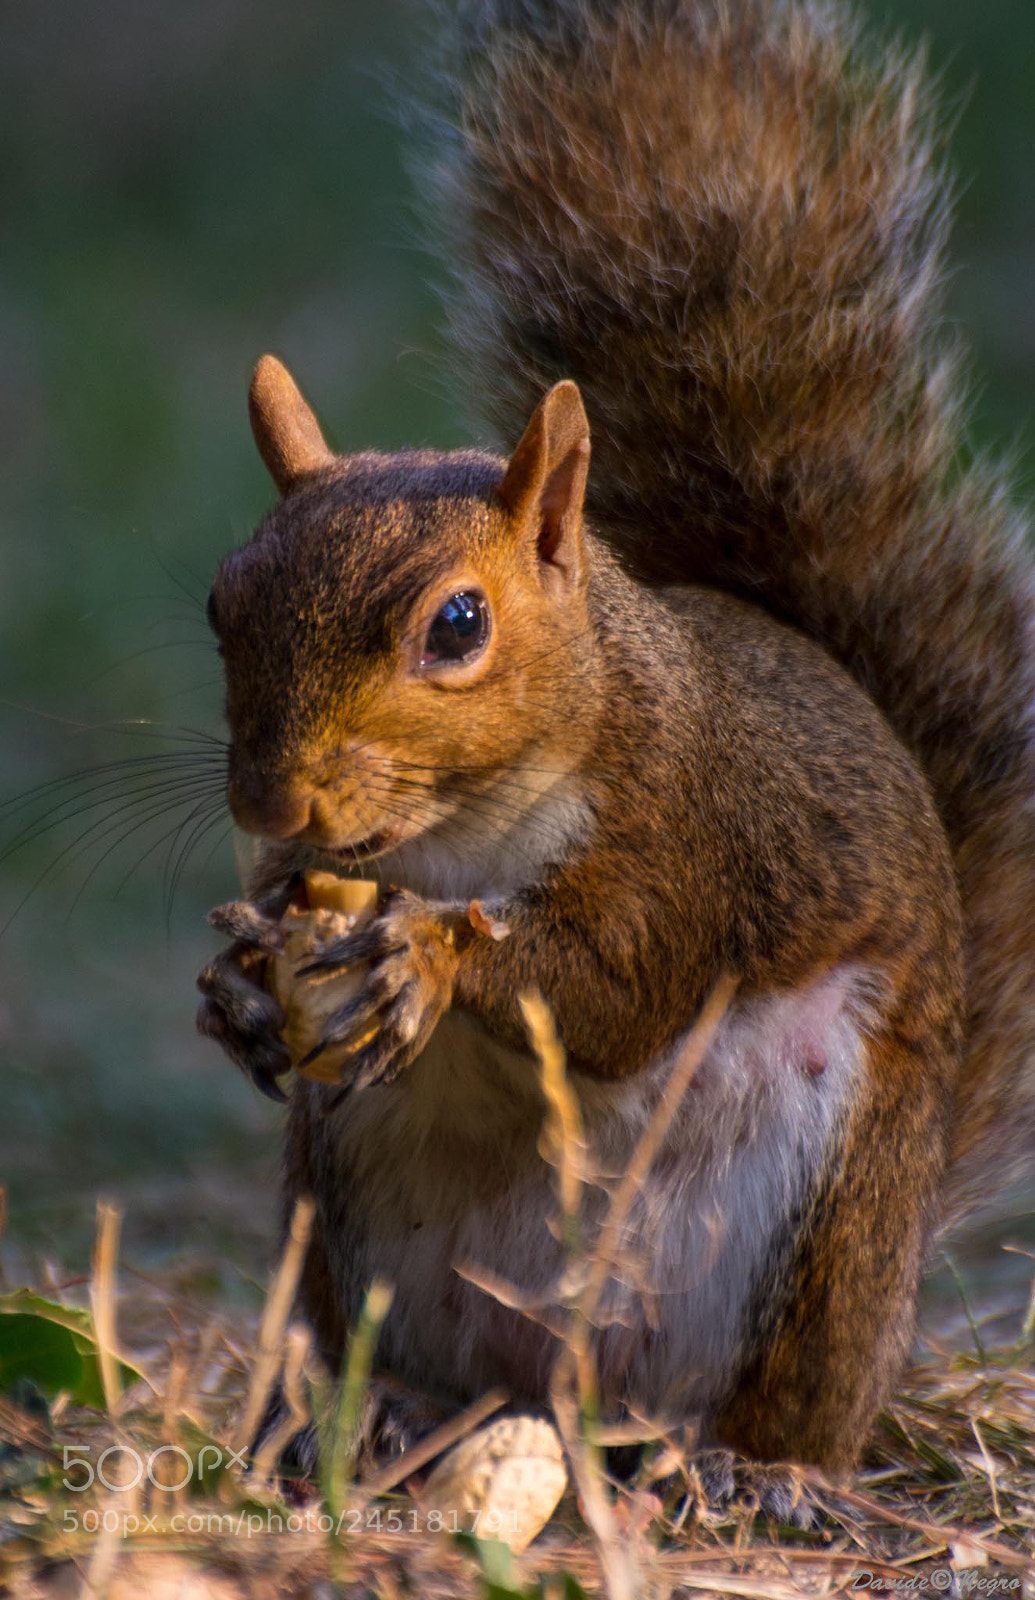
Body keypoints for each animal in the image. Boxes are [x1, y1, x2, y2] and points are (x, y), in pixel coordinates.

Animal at [196, 0, 1035, 1486]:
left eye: (456, 624)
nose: (273, 802)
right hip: (356, 1215)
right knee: (435, 1371)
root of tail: (571, 1381)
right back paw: (383, 1417)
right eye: (219, 602)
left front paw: (433, 953)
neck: (456, 835)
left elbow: (618, 984)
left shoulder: (694, 831)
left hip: (828, 1220)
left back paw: (756, 1473)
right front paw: (236, 981)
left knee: (781, 1404)